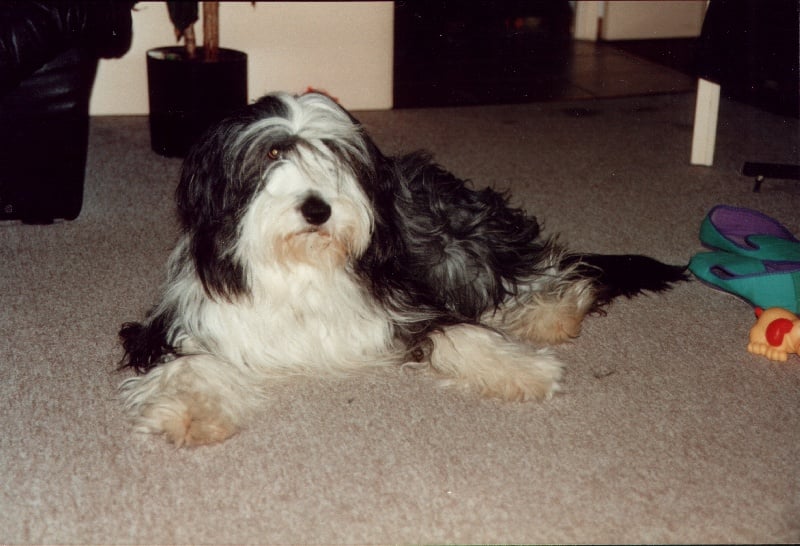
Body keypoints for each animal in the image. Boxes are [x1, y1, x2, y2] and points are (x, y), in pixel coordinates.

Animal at [119, 91, 687, 446]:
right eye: (274, 151)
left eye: (333, 156)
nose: (317, 209)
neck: (302, 266)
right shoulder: (175, 325)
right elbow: (192, 364)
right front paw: (192, 413)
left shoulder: (403, 301)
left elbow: (459, 332)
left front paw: (523, 369)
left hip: (454, 248)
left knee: (538, 268)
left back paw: (551, 313)